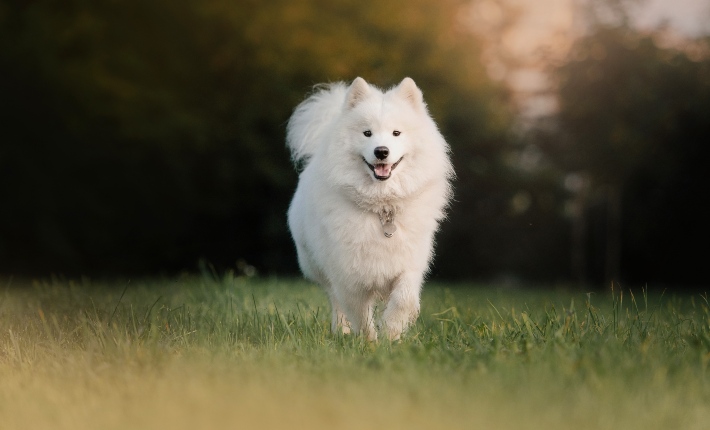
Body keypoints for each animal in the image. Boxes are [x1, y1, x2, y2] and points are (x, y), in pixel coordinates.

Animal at [286, 76, 454, 340]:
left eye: (396, 133)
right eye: (367, 133)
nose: (381, 151)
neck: (382, 208)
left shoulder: (409, 264)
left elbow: (404, 299)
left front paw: (392, 333)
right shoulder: (348, 275)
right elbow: (360, 313)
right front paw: (370, 342)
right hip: (318, 266)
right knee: (335, 301)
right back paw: (341, 331)